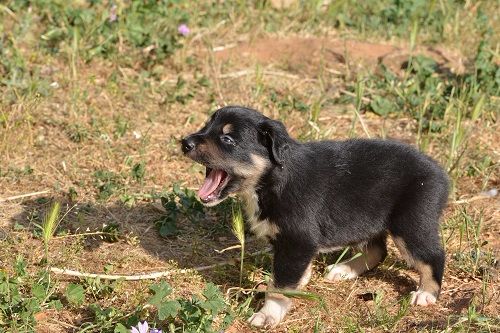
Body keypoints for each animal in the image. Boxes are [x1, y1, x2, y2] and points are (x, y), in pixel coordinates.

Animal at [181, 106, 450, 326]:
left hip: (411, 223)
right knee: (377, 250)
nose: (184, 143)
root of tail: (440, 173)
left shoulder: (297, 240)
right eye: (206, 127)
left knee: (432, 256)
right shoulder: (296, 243)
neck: (273, 179)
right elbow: (290, 273)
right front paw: (299, 284)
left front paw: (268, 314)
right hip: (366, 219)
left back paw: (426, 293)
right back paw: (344, 270)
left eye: (227, 139)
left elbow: (279, 285)